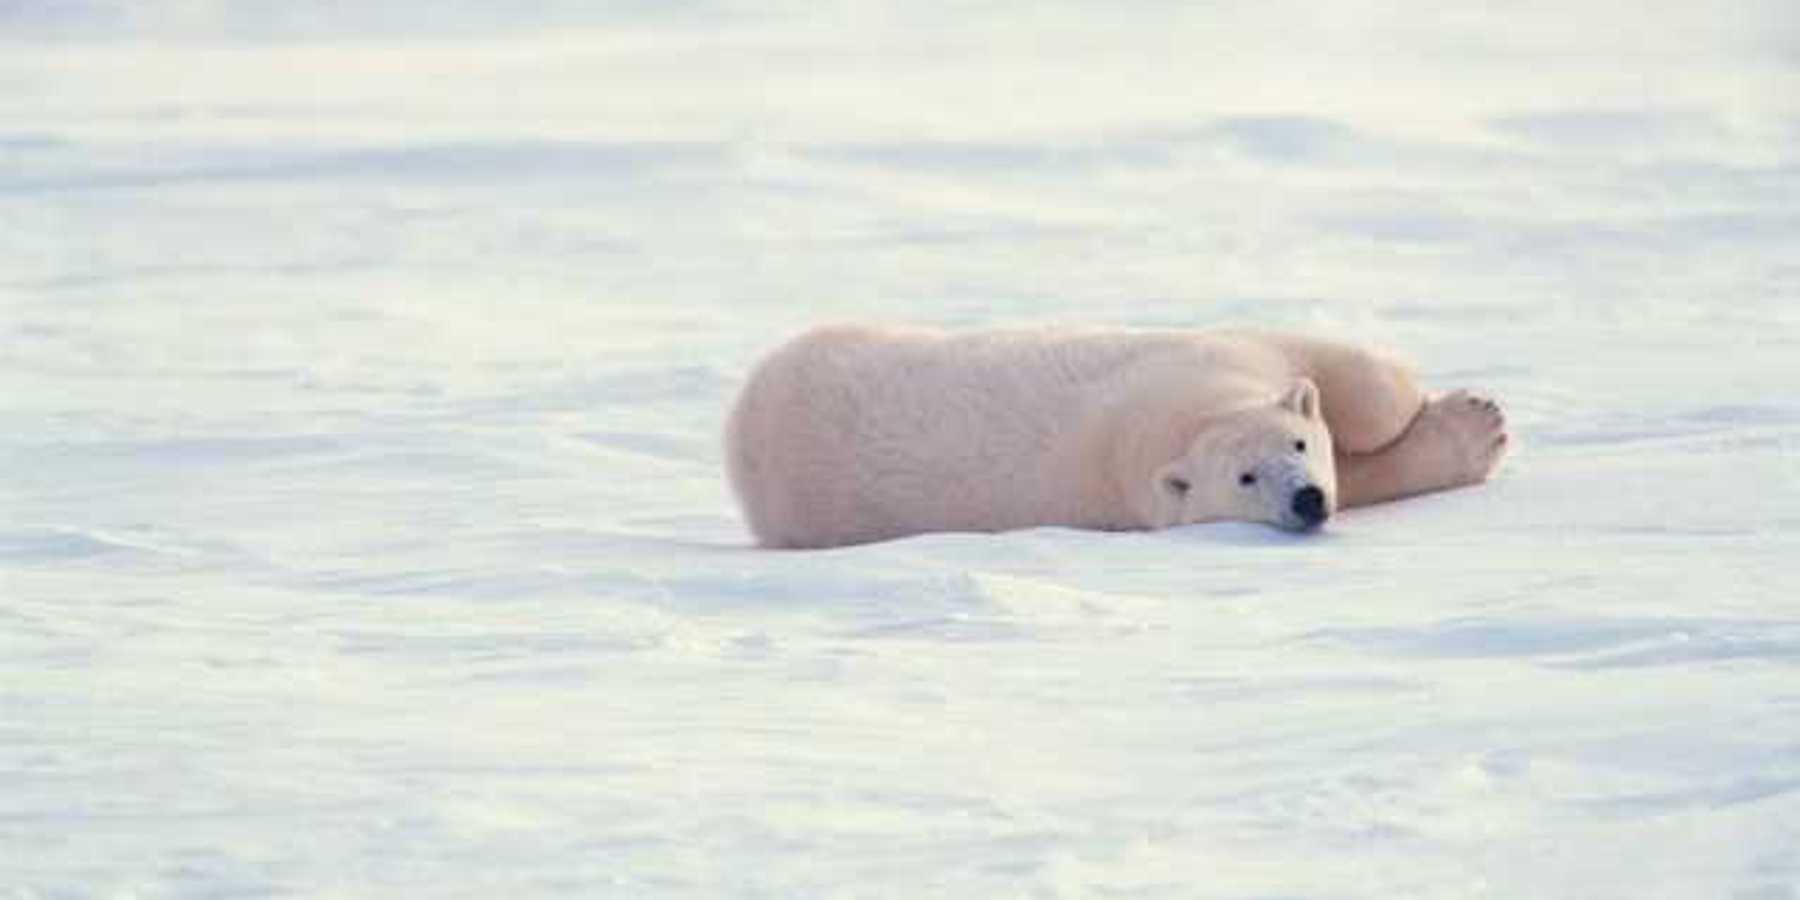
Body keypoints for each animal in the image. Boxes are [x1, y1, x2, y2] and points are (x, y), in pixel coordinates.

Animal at [725, 325, 1508, 549]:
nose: (1306, 500)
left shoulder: (1214, 349)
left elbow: (1349, 380)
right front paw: (1478, 426)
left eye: (1295, 444)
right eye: (1244, 479)